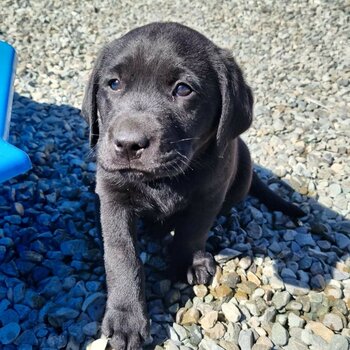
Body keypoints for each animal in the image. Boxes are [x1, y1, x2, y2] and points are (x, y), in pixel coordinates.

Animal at [81, 22, 304, 350]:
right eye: (114, 84)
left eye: (184, 89)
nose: (128, 144)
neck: (163, 179)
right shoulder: (112, 196)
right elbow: (122, 256)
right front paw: (126, 318)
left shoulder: (210, 193)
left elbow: (192, 230)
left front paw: (187, 261)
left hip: (242, 173)